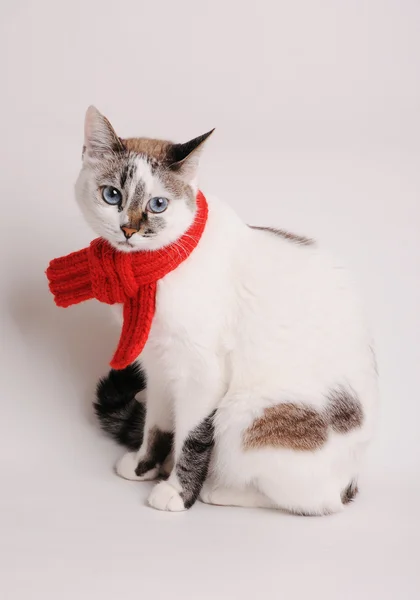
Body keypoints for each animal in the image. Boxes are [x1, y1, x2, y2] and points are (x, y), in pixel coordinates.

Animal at [76, 105, 380, 512]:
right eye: (112, 196)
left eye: (158, 204)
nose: (129, 229)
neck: (153, 270)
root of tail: (352, 479)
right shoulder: (160, 367)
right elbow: (158, 426)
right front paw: (145, 467)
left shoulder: (202, 375)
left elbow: (191, 438)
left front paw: (178, 492)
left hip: (248, 416)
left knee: (314, 501)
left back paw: (220, 490)